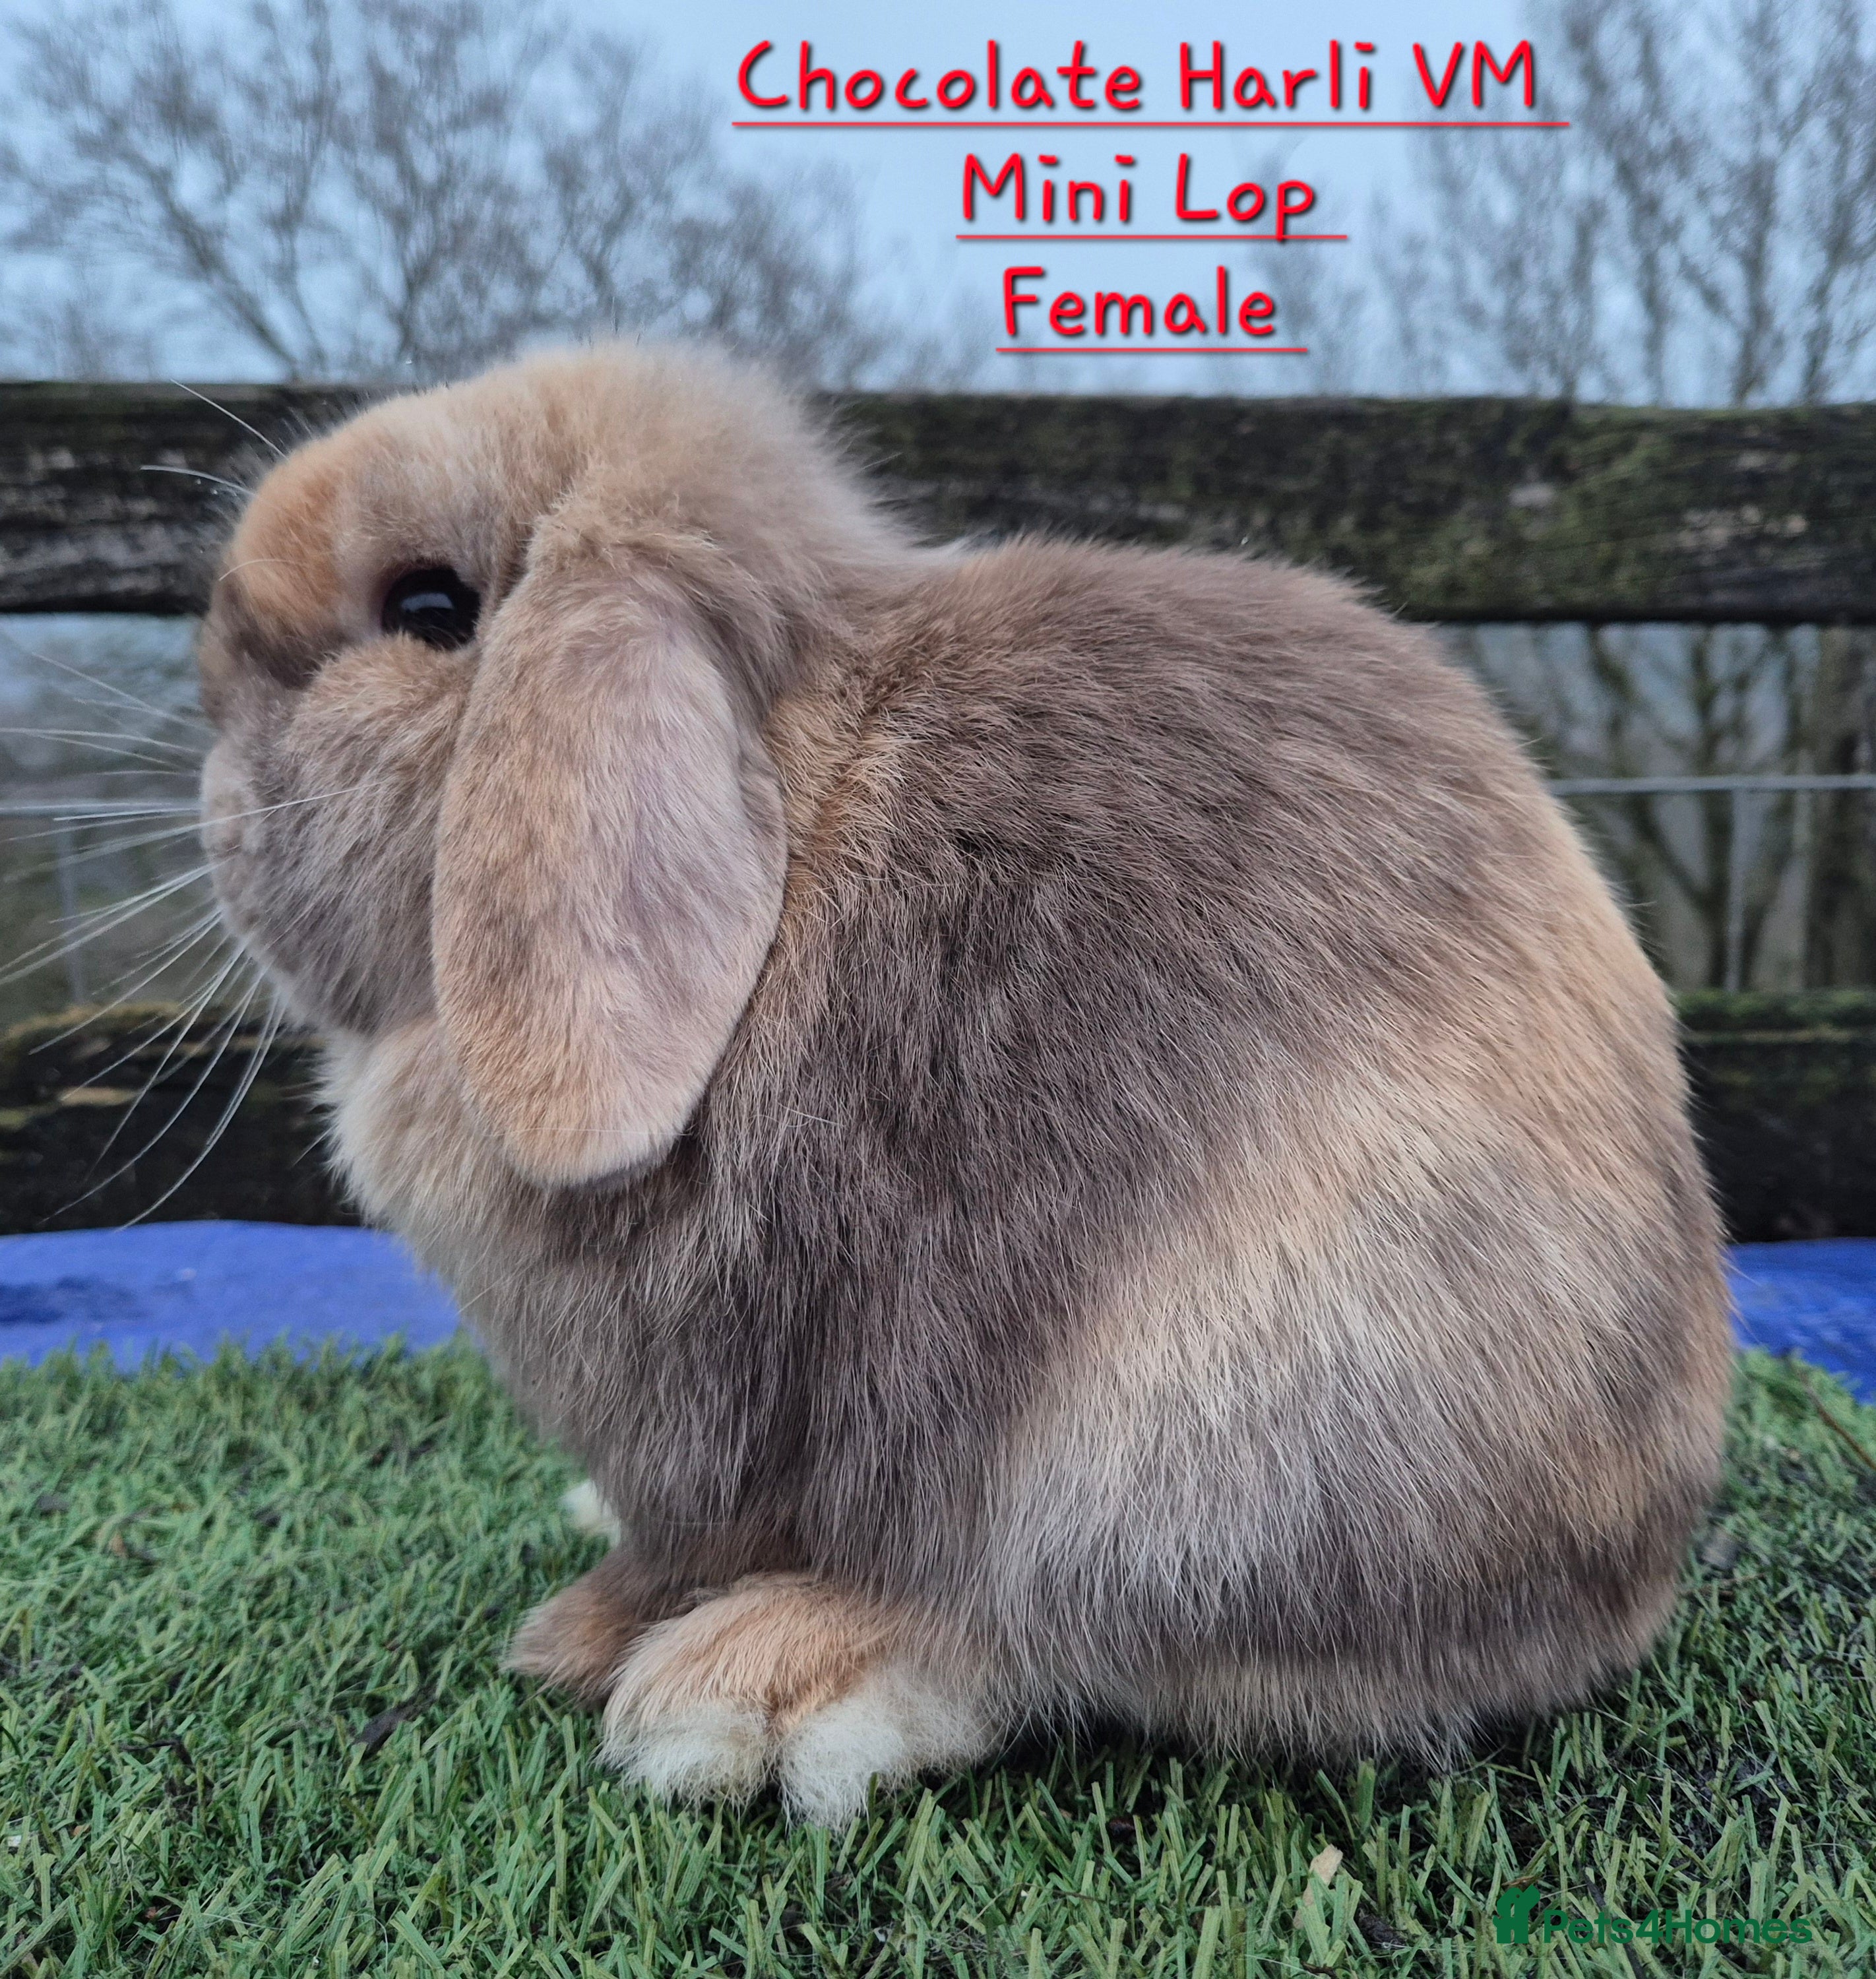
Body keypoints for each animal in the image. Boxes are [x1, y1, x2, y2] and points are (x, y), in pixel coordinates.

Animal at [197, 343, 1734, 1825]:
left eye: (430, 605)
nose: (211, 730)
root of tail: (1624, 1577)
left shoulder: (703, 1411)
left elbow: (695, 1536)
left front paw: (582, 1640)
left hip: (1189, 1439)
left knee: (1052, 1627)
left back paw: (753, 1689)